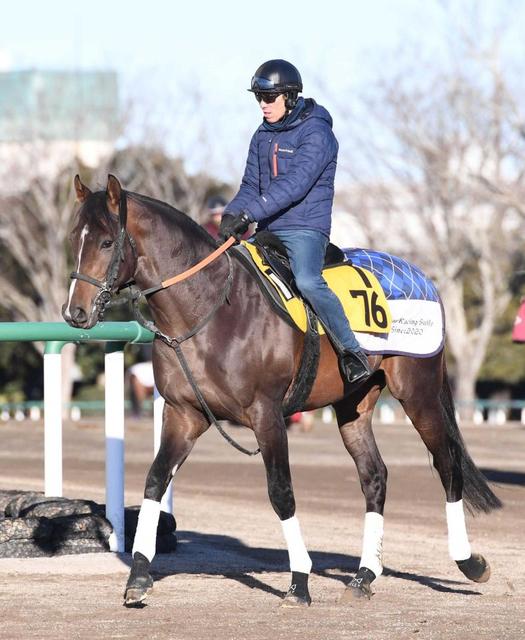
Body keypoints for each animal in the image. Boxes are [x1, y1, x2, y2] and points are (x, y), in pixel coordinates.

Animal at [61, 176, 500, 608]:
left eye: (106, 242)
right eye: (73, 239)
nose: (74, 313)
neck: (211, 309)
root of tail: (423, 278)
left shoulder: (266, 415)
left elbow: (281, 492)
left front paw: (299, 582)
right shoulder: (183, 414)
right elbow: (155, 480)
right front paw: (138, 576)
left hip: (418, 394)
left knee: (447, 465)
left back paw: (469, 562)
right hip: (354, 406)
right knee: (374, 476)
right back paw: (364, 575)